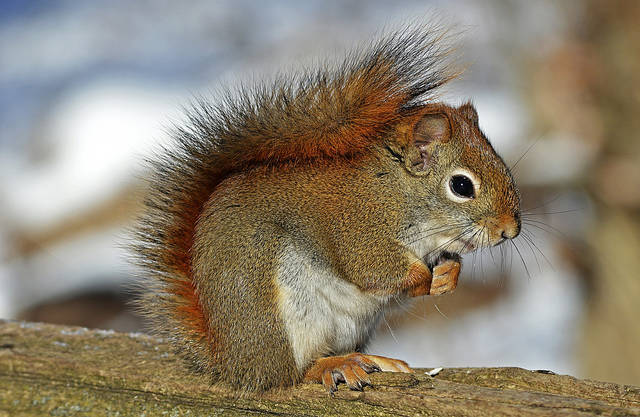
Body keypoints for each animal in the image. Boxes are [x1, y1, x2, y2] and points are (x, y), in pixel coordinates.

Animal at [132, 26, 521, 393]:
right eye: (461, 186)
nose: (510, 230)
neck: (398, 191)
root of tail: (231, 362)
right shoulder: (359, 225)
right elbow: (373, 269)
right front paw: (425, 278)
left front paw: (449, 275)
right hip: (278, 315)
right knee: (291, 373)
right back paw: (334, 366)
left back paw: (371, 360)